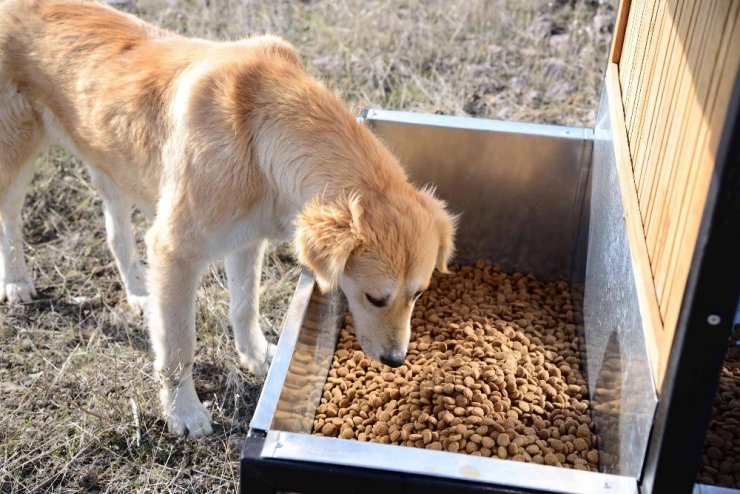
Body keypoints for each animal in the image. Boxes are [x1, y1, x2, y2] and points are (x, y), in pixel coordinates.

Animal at [0, 0, 456, 438]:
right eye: (375, 298)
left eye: (418, 294)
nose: (395, 360)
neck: (259, 133)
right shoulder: (174, 251)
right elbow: (179, 345)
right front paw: (183, 413)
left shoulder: (246, 240)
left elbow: (244, 306)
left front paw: (257, 357)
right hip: (16, 157)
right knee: (10, 221)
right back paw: (17, 283)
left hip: (109, 160)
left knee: (116, 233)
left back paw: (139, 292)